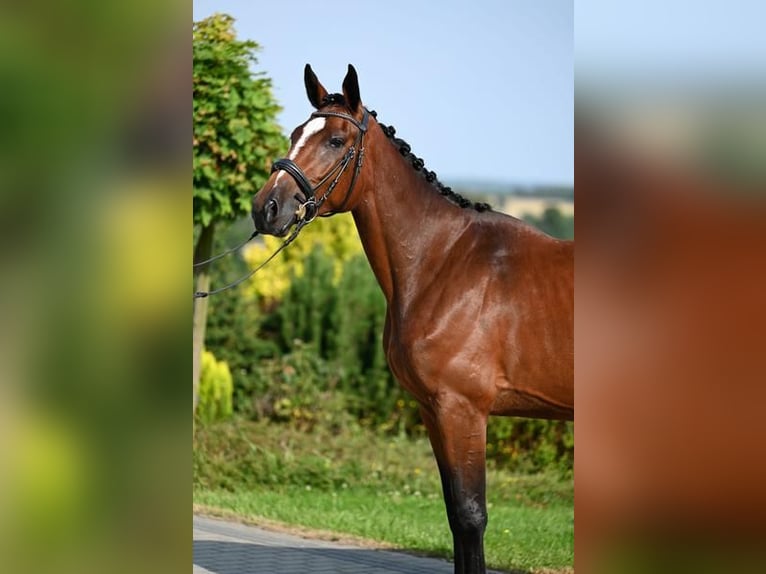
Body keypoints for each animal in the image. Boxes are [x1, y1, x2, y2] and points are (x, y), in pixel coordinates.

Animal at [254, 64, 576, 574]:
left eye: (337, 141)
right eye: (294, 134)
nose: (266, 208)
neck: (444, 260)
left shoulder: (462, 409)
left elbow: (470, 516)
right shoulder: (433, 410)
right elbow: (455, 516)